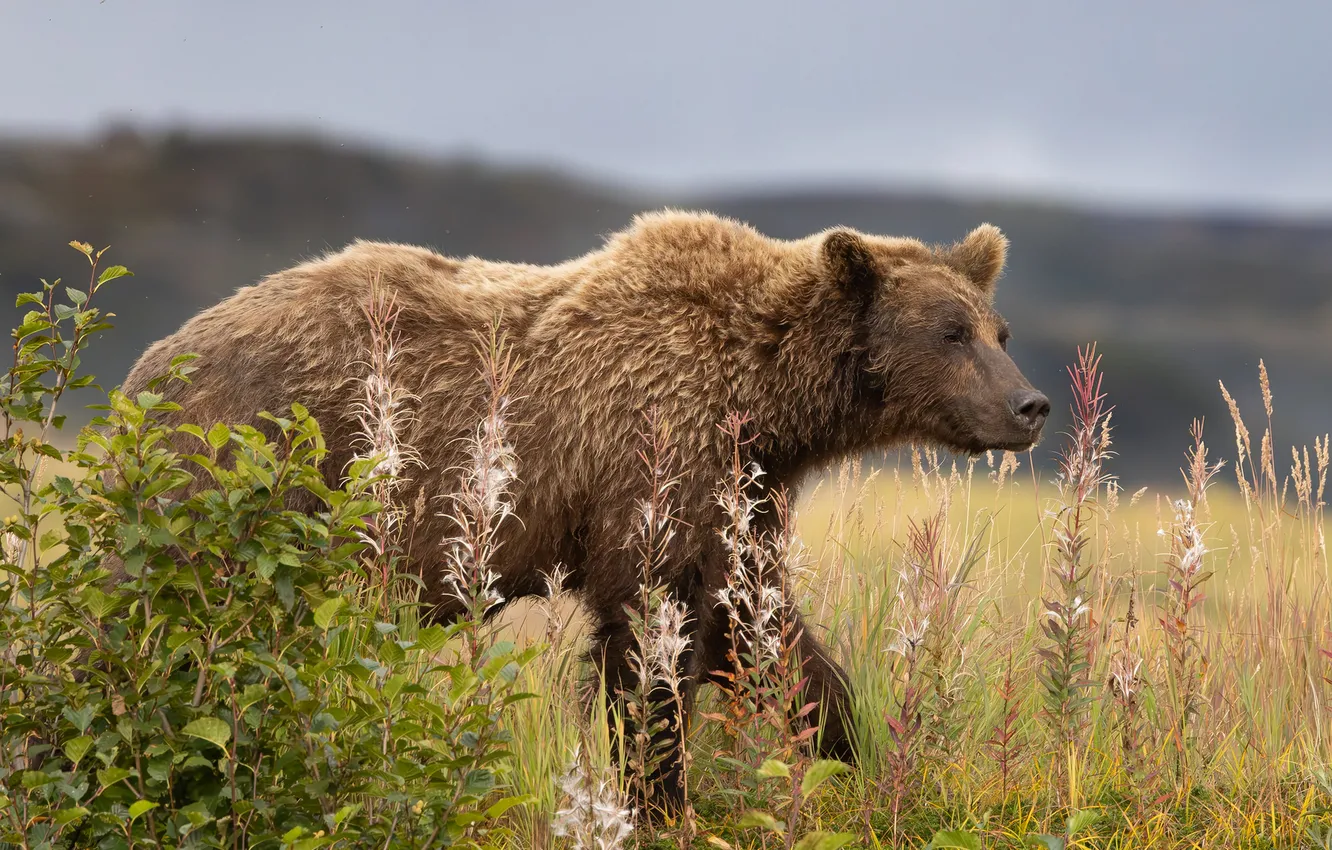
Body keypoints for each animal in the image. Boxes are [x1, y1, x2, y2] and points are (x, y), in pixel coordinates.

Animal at [121, 210, 1049, 810]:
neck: (766, 398)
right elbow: (647, 641)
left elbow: (761, 631)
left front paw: (847, 756)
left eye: (997, 330)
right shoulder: (649, 457)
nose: (1031, 405)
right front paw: (657, 795)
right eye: (950, 333)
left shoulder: (742, 493)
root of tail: (145, 368)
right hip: (254, 472)